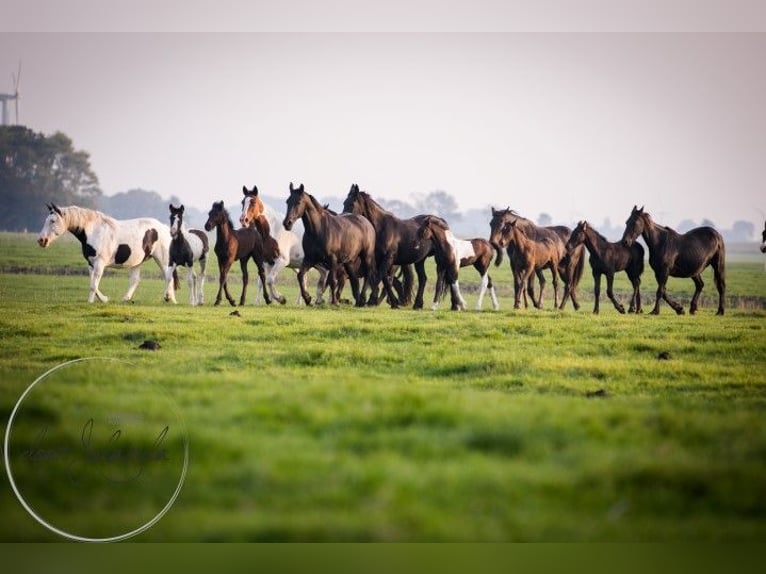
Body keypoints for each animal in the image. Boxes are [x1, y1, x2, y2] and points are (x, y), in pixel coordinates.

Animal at [38, 204, 176, 304]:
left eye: (53, 221)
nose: (41, 240)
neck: (93, 231)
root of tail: (164, 228)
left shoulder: (100, 263)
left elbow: (93, 285)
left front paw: (90, 302)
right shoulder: (91, 263)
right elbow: (93, 283)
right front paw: (104, 299)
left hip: (162, 259)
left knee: (168, 277)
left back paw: (169, 298)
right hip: (137, 262)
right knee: (135, 280)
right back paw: (127, 298)